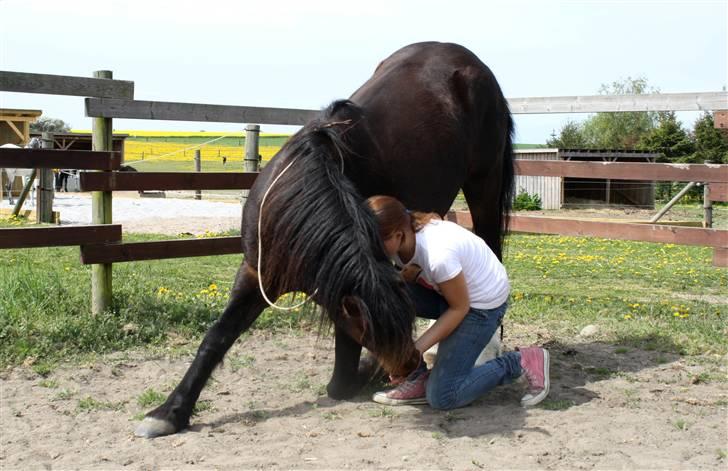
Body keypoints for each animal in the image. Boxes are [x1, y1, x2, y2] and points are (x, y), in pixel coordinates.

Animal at [135, 42, 512, 440]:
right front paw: (171, 412)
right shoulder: (256, 273)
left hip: (484, 184)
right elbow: (218, 336)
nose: (408, 364)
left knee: (490, 248)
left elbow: (342, 377)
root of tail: (463, 57)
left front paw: (366, 372)